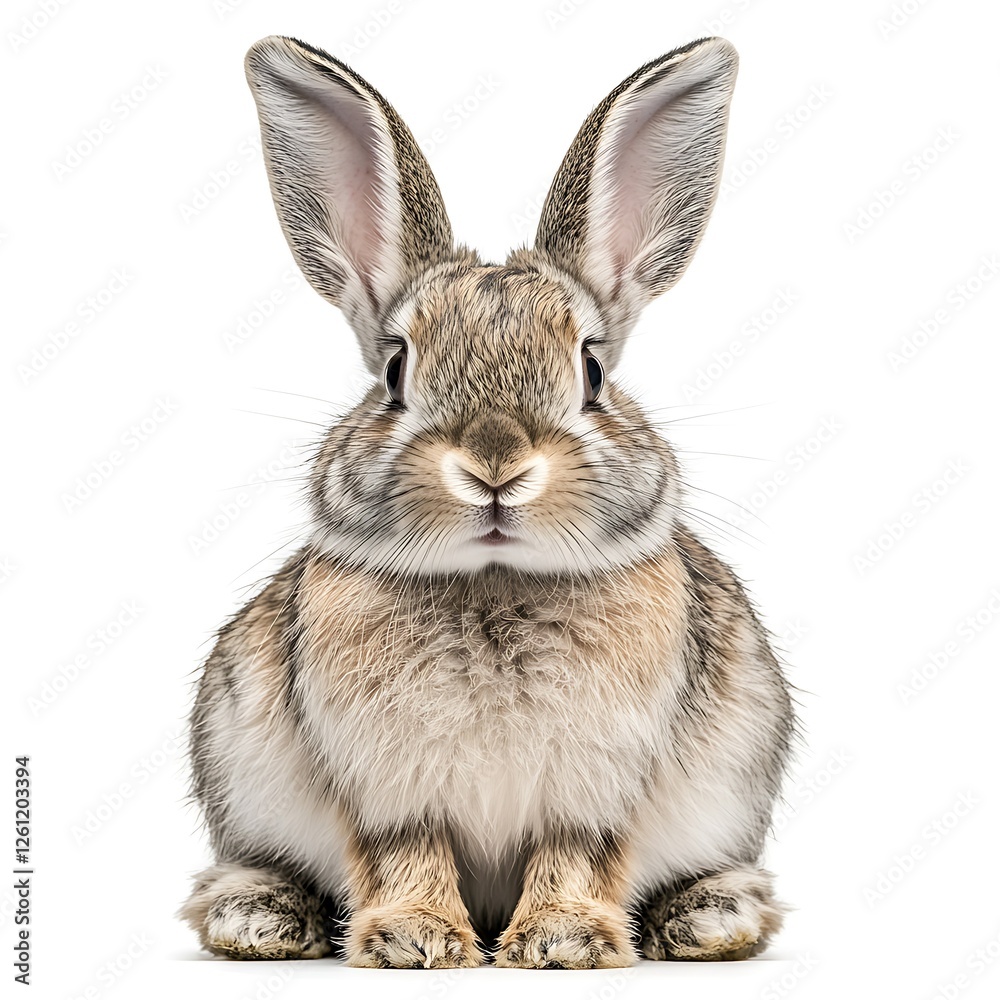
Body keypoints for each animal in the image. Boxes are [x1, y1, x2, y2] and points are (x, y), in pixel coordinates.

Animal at [180, 34, 794, 969]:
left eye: (592, 372)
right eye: (396, 372)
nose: (496, 465)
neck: (495, 582)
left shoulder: (594, 788)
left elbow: (575, 856)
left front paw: (562, 942)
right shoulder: (390, 787)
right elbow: (408, 855)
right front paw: (418, 941)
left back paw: (713, 916)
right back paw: (255, 915)